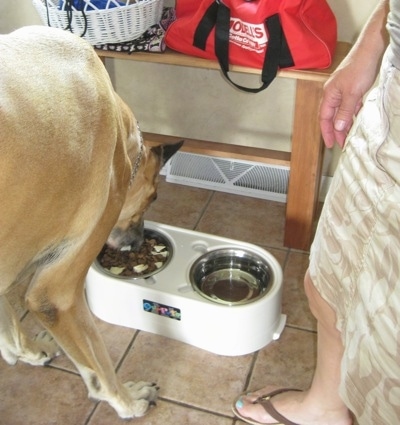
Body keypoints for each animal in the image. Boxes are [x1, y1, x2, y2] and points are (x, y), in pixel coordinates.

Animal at [0, 25, 181, 418]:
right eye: (154, 198)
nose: (138, 242)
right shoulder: (56, 293)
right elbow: (97, 362)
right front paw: (126, 400)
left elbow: (7, 325)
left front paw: (26, 350)